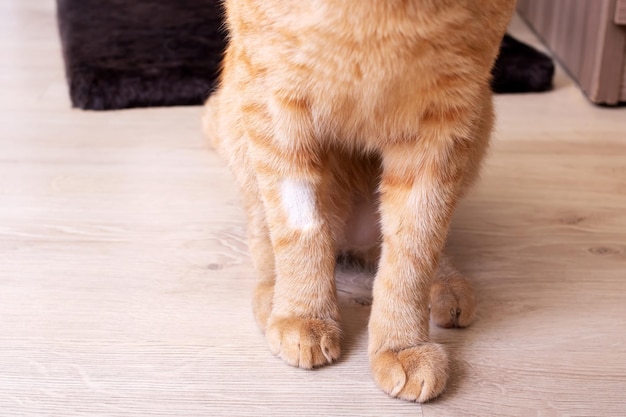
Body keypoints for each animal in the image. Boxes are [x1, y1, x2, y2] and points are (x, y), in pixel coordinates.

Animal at [202, 0, 516, 404]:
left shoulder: (447, 118)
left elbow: (416, 246)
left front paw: (401, 344)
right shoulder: (274, 97)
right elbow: (298, 227)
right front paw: (304, 314)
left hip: (481, 116)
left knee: (394, 246)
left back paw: (447, 286)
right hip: (233, 102)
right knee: (262, 229)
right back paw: (273, 297)